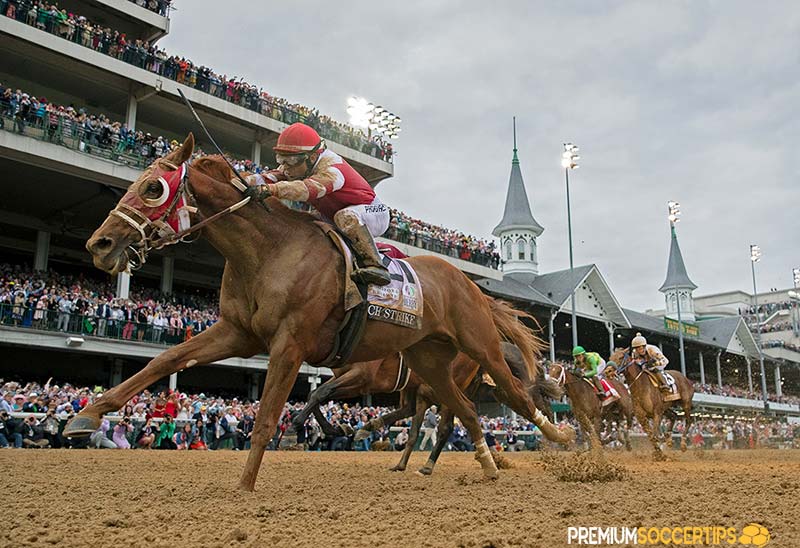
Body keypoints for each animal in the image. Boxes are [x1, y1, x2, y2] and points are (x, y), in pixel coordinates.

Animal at [65, 135, 572, 490]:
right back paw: (480, 464)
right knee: (460, 412)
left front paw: (245, 484)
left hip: (478, 346)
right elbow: (166, 360)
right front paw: (87, 416)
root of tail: (468, 282)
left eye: (153, 187)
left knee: (518, 396)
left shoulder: (291, 344)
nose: (99, 244)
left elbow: (270, 415)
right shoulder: (236, 332)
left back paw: (566, 441)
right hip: (430, 361)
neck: (269, 252)